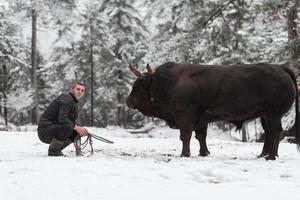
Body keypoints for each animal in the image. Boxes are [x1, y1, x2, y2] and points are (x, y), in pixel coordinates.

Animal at [125, 62, 298, 159]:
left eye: (138, 85)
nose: (128, 101)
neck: (166, 83)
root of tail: (281, 68)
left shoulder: (185, 118)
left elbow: (186, 136)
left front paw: (184, 154)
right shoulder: (202, 120)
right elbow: (201, 136)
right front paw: (204, 153)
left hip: (274, 114)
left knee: (275, 132)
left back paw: (271, 156)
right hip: (265, 115)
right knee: (269, 133)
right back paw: (263, 154)